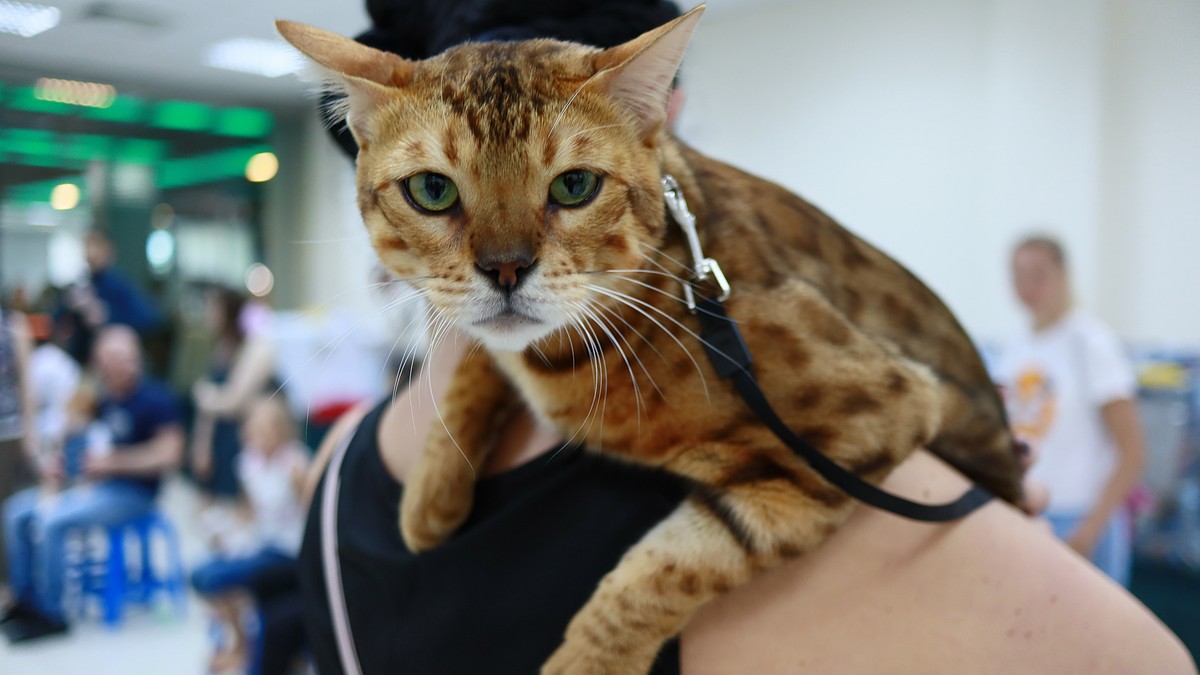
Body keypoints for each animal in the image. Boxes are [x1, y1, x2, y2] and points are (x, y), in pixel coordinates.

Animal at [278, 6, 1022, 672]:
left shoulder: (864, 425)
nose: (506, 268)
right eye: (432, 190)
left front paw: (585, 663)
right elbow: (481, 358)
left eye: (575, 186)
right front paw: (431, 492)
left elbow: (661, 570)